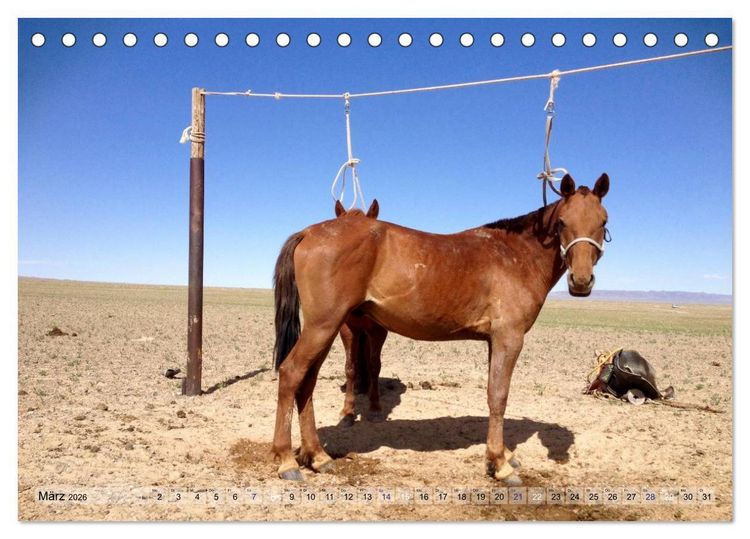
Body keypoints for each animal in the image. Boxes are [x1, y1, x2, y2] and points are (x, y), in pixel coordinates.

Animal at [271, 173, 610, 485]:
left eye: (603, 221)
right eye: (563, 222)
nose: (581, 282)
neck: (515, 255)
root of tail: (308, 232)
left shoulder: (494, 341)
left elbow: (493, 394)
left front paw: (501, 456)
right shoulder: (509, 338)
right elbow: (498, 396)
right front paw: (500, 464)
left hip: (326, 330)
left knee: (307, 382)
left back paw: (318, 456)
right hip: (324, 326)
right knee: (291, 373)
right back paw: (287, 461)